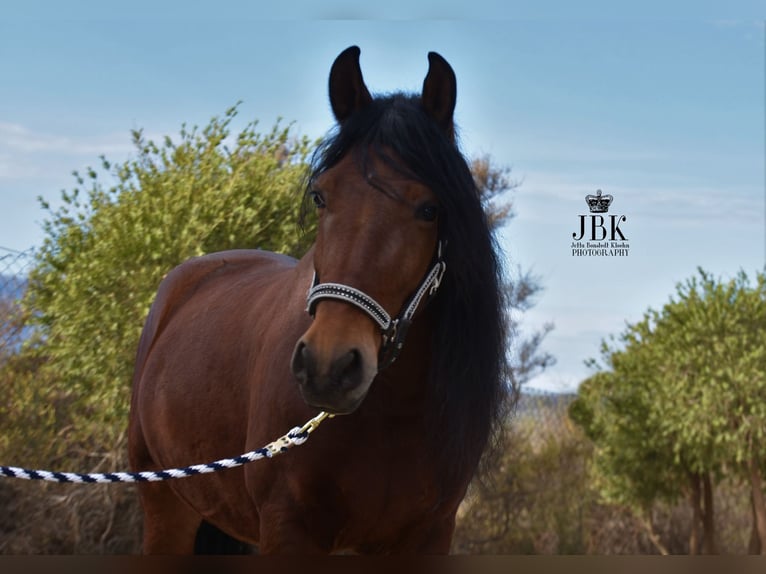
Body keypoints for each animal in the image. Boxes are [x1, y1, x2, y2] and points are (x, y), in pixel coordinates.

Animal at [129, 47, 510, 556]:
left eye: (429, 209)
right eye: (320, 196)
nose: (329, 366)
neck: (393, 416)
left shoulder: (427, 536)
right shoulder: (288, 530)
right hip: (165, 508)